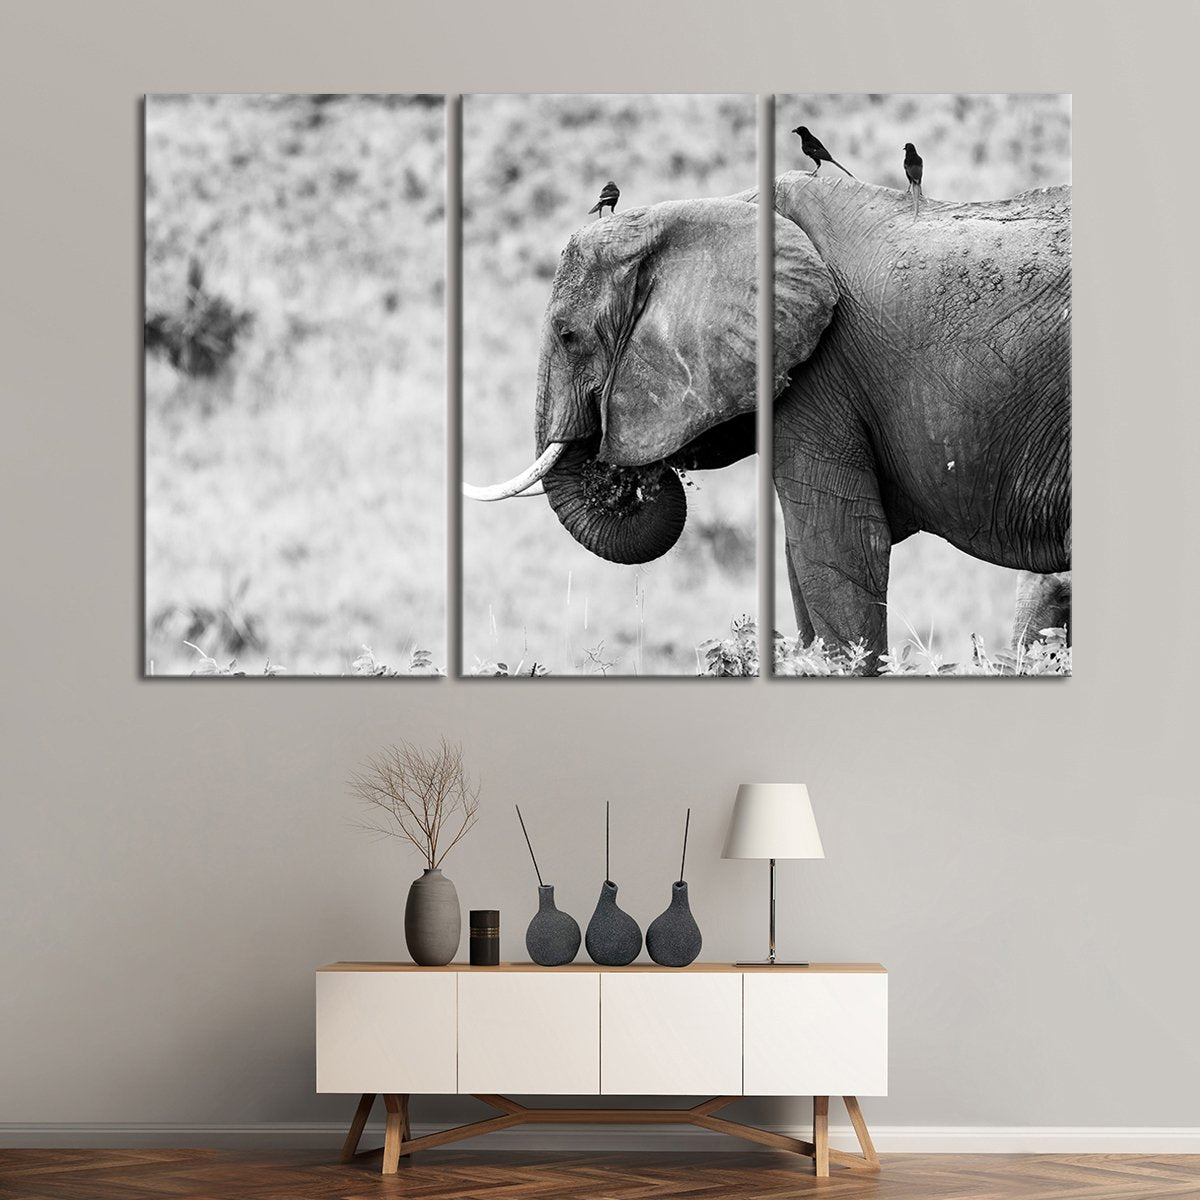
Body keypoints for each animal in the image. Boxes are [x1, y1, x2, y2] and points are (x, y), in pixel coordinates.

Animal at [465, 173, 1071, 668]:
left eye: (567, 335)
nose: (616, 472)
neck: (722, 207)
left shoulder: (820, 374)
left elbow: (836, 547)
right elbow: (802, 565)